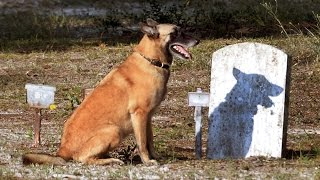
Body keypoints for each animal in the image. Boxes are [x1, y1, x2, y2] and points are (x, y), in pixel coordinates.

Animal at [23, 18, 200, 166]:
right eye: (175, 32)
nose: (198, 41)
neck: (151, 61)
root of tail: (62, 150)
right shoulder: (139, 115)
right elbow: (142, 144)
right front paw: (147, 161)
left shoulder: (148, 117)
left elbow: (150, 141)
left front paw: (155, 157)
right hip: (114, 131)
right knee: (82, 158)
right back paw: (111, 160)